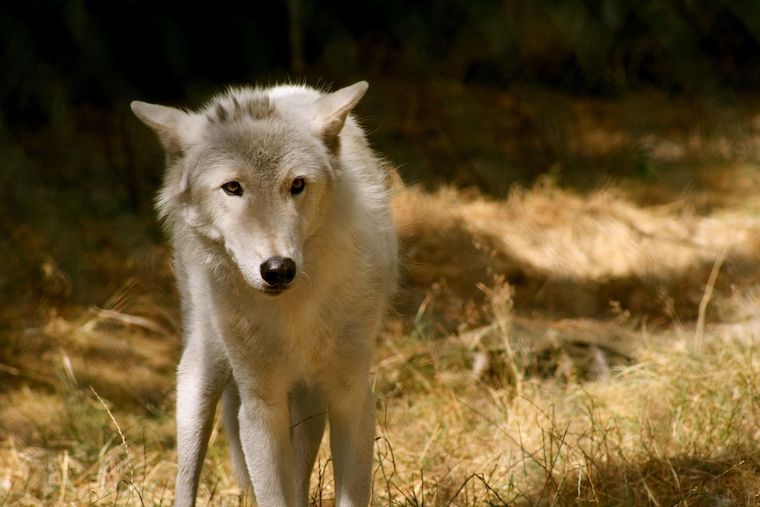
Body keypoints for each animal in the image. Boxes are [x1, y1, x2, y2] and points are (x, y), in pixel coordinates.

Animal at [131, 81, 397, 507]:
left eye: (297, 184)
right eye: (233, 188)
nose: (278, 269)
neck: (294, 309)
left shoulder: (351, 395)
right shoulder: (260, 404)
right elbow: (272, 494)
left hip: (309, 402)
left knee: (300, 474)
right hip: (205, 368)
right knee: (188, 470)